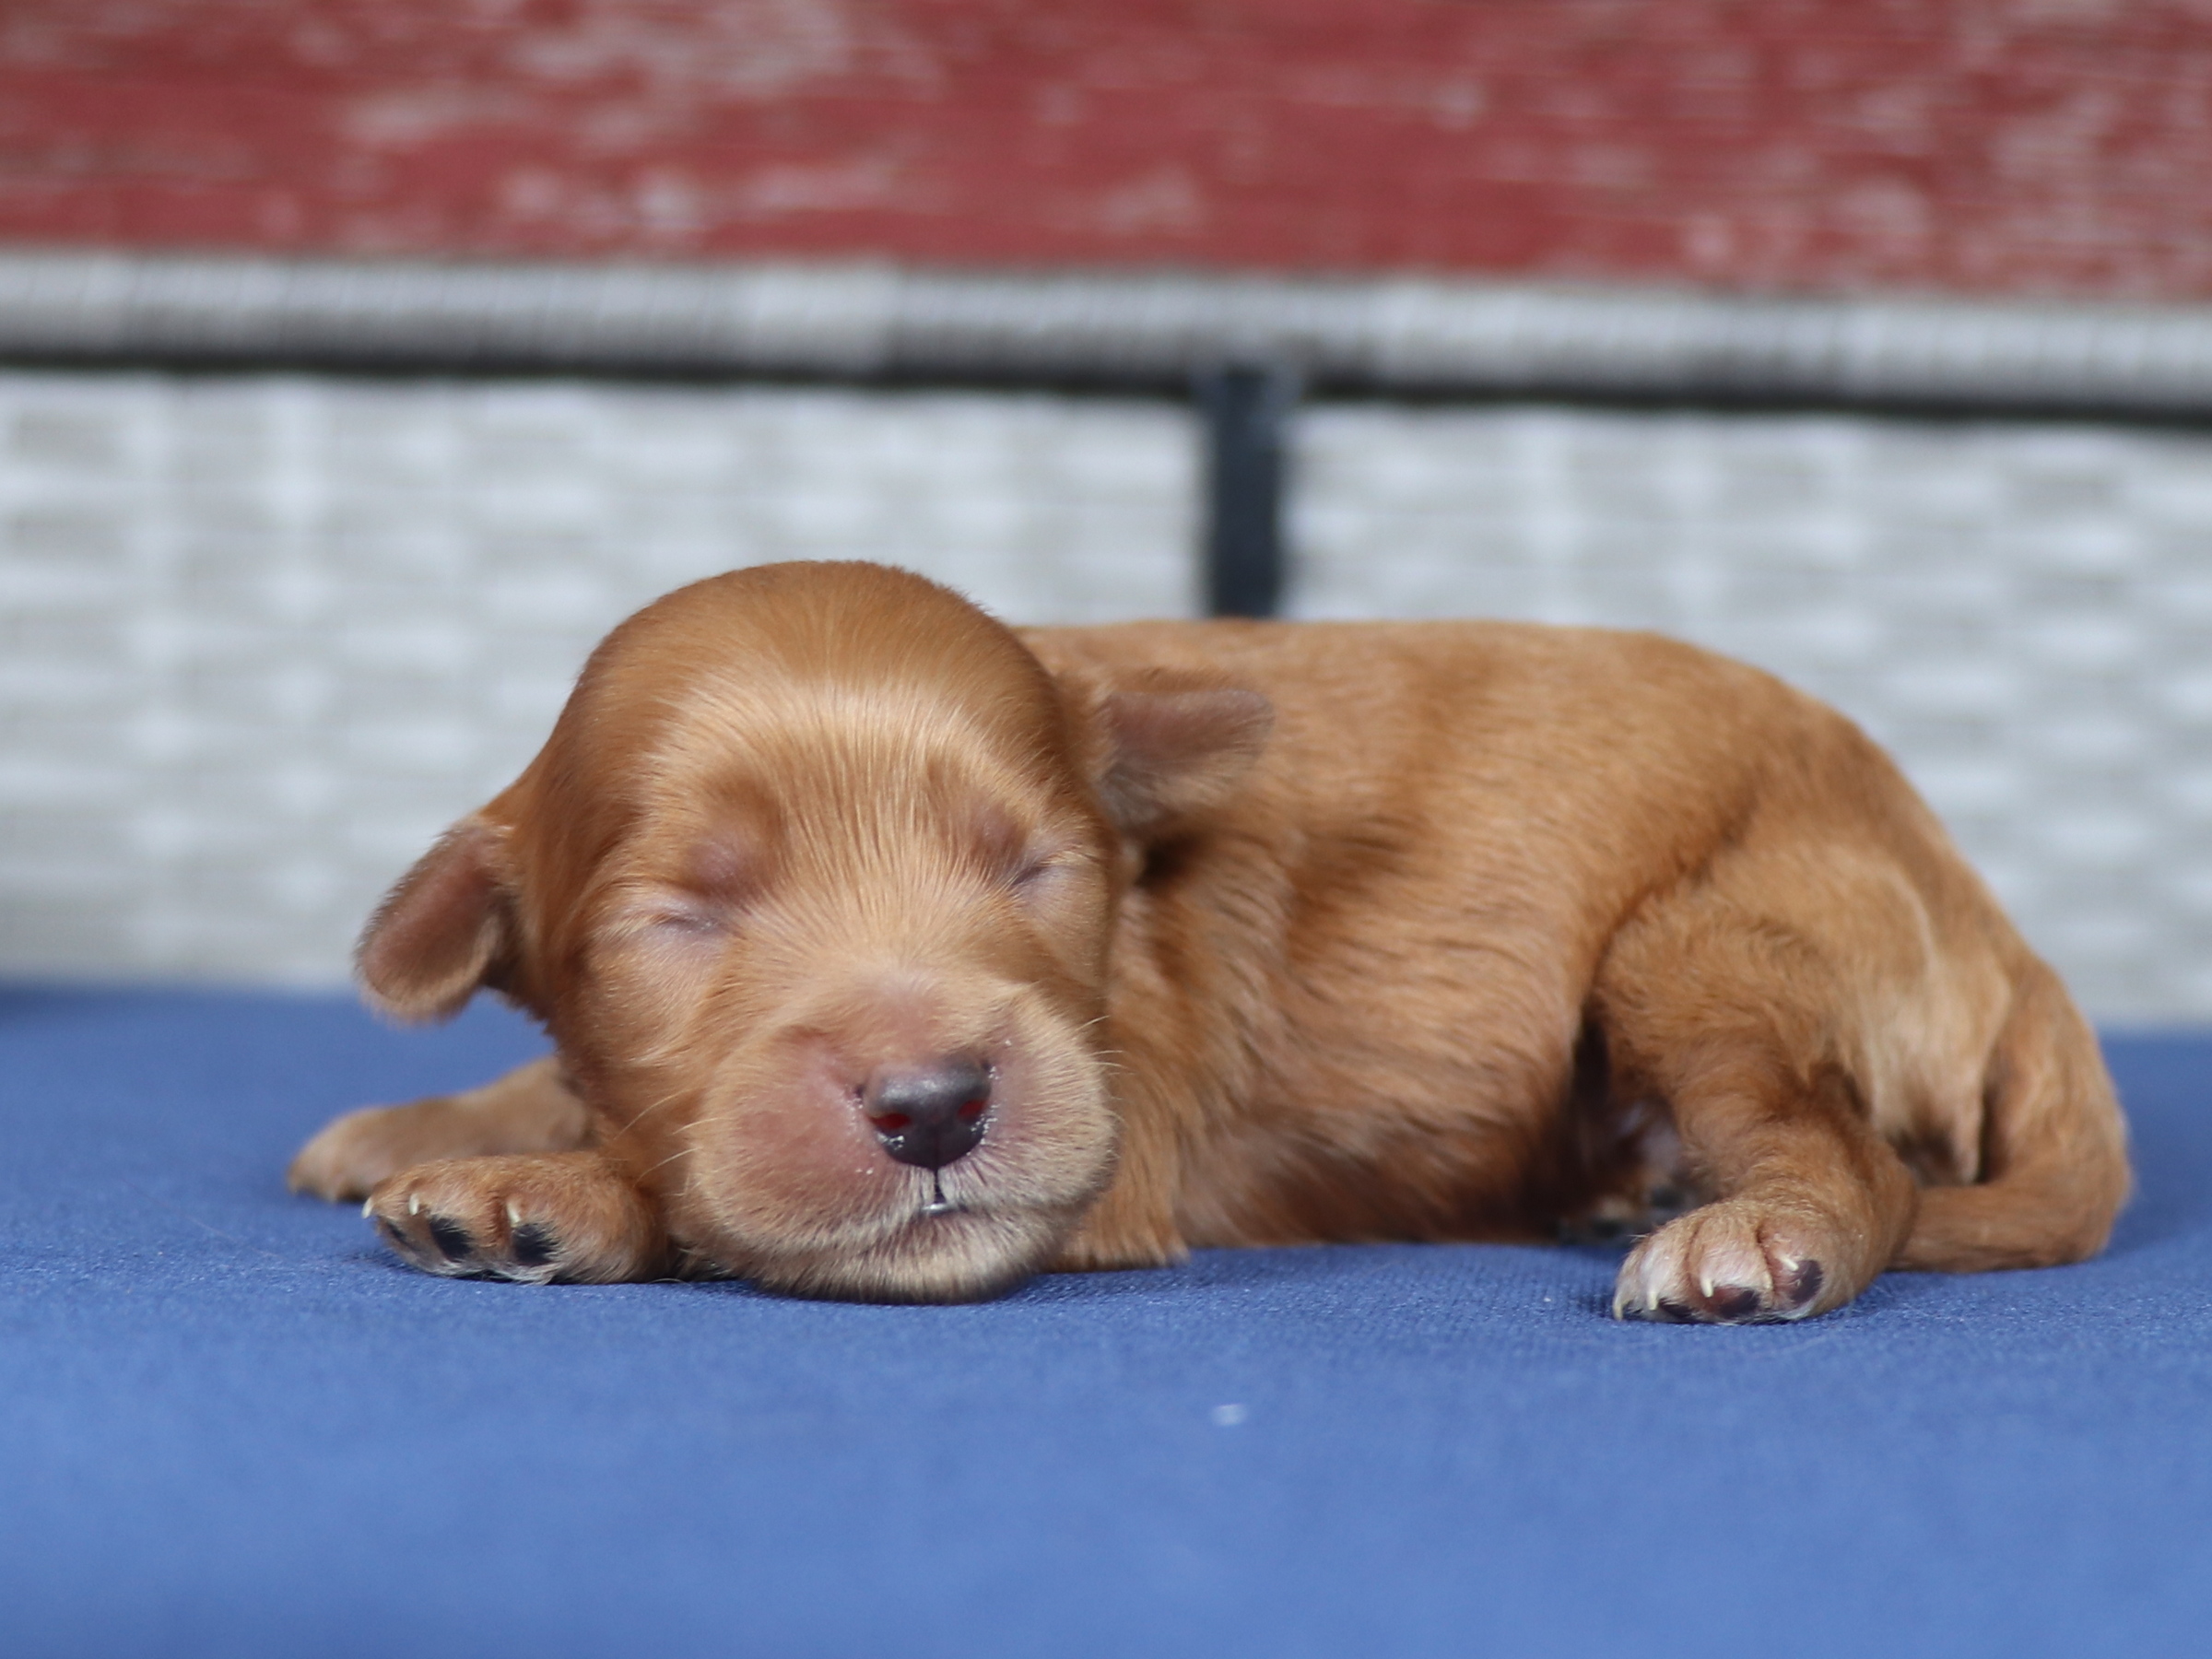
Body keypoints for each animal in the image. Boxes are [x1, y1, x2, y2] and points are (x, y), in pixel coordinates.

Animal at [289, 560, 2130, 1321]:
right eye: (685, 918)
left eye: (1033, 870)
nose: (936, 1108)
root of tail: (1988, 910)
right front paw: (444, 1118)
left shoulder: (1123, 1131)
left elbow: (706, 1194)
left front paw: (547, 1190)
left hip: (1709, 940)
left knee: (1860, 1160)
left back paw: (1748, 1230)